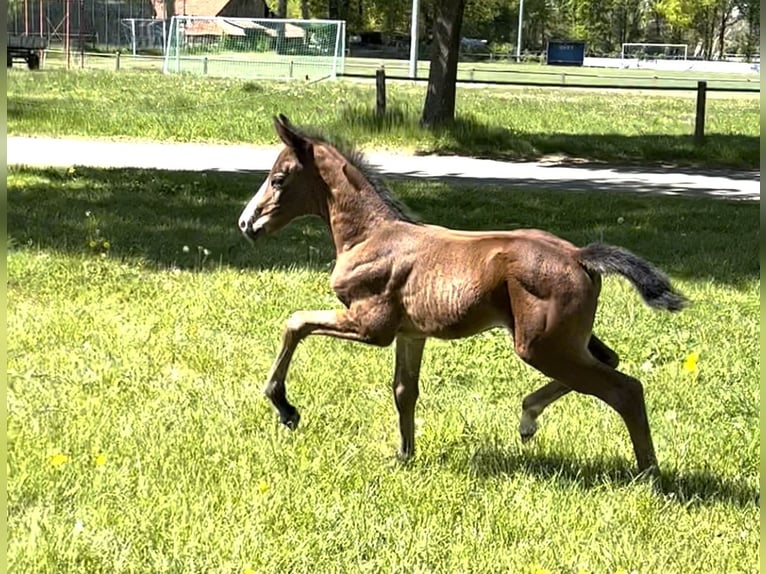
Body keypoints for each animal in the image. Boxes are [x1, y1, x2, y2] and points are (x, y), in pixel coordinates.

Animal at [240, 115, 688, 474]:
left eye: (278, 179)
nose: (247, 223)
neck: (370, 236)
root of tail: (580, 256)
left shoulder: (371, 326)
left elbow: (295, 322)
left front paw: (284, 406)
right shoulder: (410, 334)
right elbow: (404, 391)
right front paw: (405, 456)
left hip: (540, 344)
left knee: (625, 389)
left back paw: (649, 474)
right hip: (565, 339)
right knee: (610, 361)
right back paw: (529, 417)